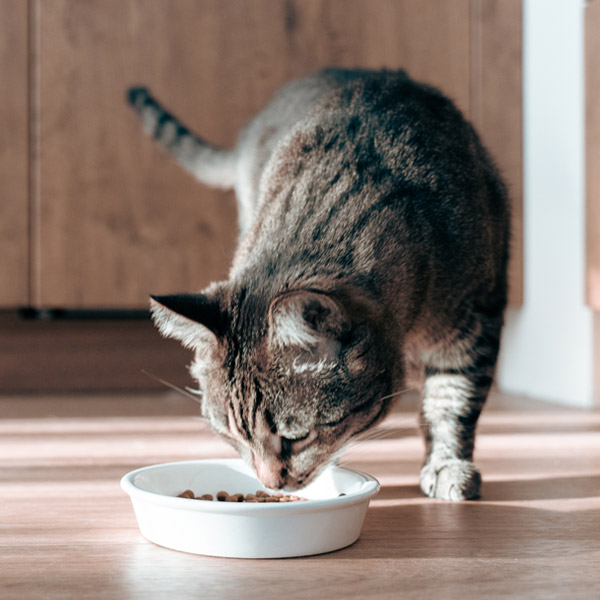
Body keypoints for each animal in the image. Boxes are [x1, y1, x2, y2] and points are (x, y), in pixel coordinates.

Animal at [127, 68, 510, 502]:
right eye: (233, 436)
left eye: (297, 437)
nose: (269, 484)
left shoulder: (476, 317)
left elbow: (452, 400)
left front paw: (448, 465)